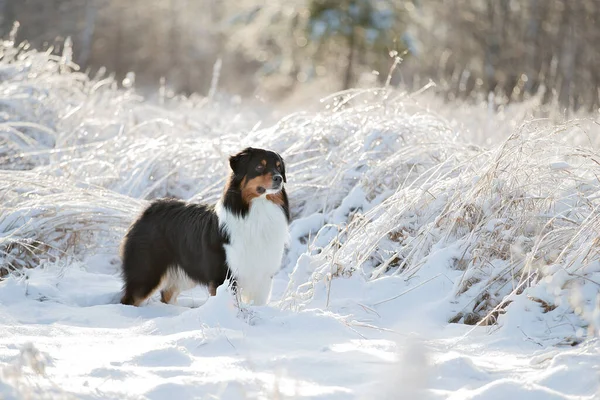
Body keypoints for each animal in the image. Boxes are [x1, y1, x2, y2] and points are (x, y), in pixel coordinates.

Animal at [118, 148, 290, 308]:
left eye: (279, 167)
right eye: (260, 166)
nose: (279, 178)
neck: (257, 211)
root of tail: (149, 208)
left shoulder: (263, 276)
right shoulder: (224, 276)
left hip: (181, 276)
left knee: (167, 295)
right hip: (146, 273)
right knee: (130, 299)